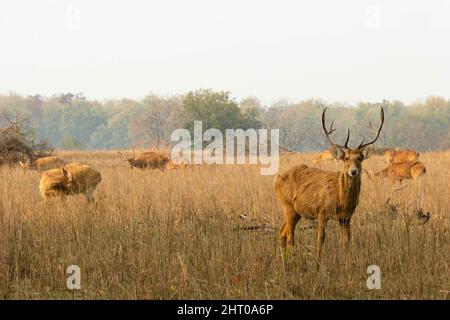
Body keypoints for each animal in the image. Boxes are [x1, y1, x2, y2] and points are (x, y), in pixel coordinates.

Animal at [274, 106, 384, 264]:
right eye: (346, 158)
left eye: (360, 158)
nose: (353, 171)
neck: (341, 199)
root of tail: (276, 179)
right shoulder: (321, 211)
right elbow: (320, 240)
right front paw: (318, 264)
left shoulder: (346, 217)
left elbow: (346, 242)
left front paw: (348, 265)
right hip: (287, 205)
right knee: (290, 237)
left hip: (296, 211)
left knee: (282, 232)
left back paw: (284, 262)